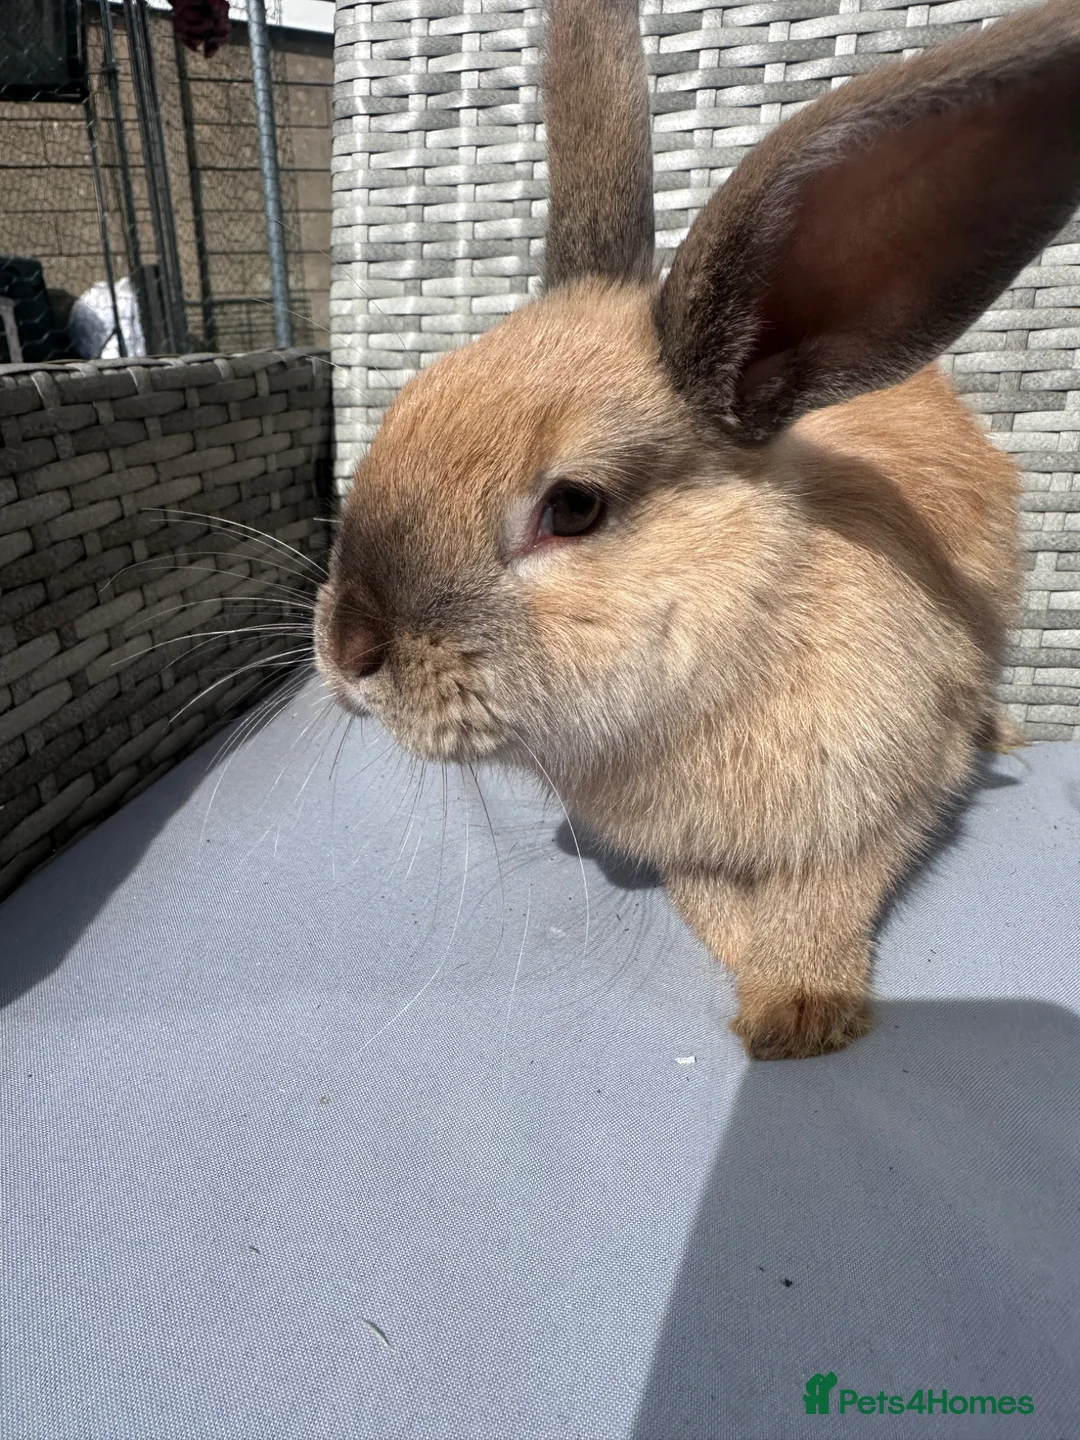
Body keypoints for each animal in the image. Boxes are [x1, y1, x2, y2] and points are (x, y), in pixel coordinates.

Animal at [315, 0, 1080, 1059]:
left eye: (575, 507)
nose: (347, 652)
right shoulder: (687, 854)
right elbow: (714, 905)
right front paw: (770, 993)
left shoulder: (882, 805)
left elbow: (826, 902)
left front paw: (800, 1016)